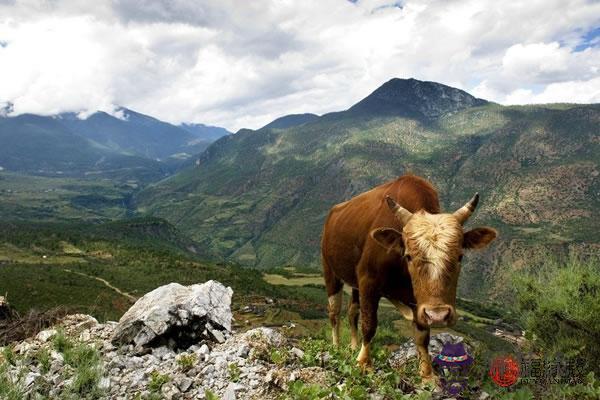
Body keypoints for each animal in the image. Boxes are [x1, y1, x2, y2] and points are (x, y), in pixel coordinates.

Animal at [324, 175, 496, 382]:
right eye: (409, 256)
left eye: (460, 256)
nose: (438, 316)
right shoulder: (368, 281)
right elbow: (370, 324)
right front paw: (364, 364)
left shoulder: (419, 301)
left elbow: (422, 335)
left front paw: (427, 375)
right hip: (330, 271)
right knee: (334, 312)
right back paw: (336, 346)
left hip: (355, 284)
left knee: (352, 311)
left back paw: (353, 346)